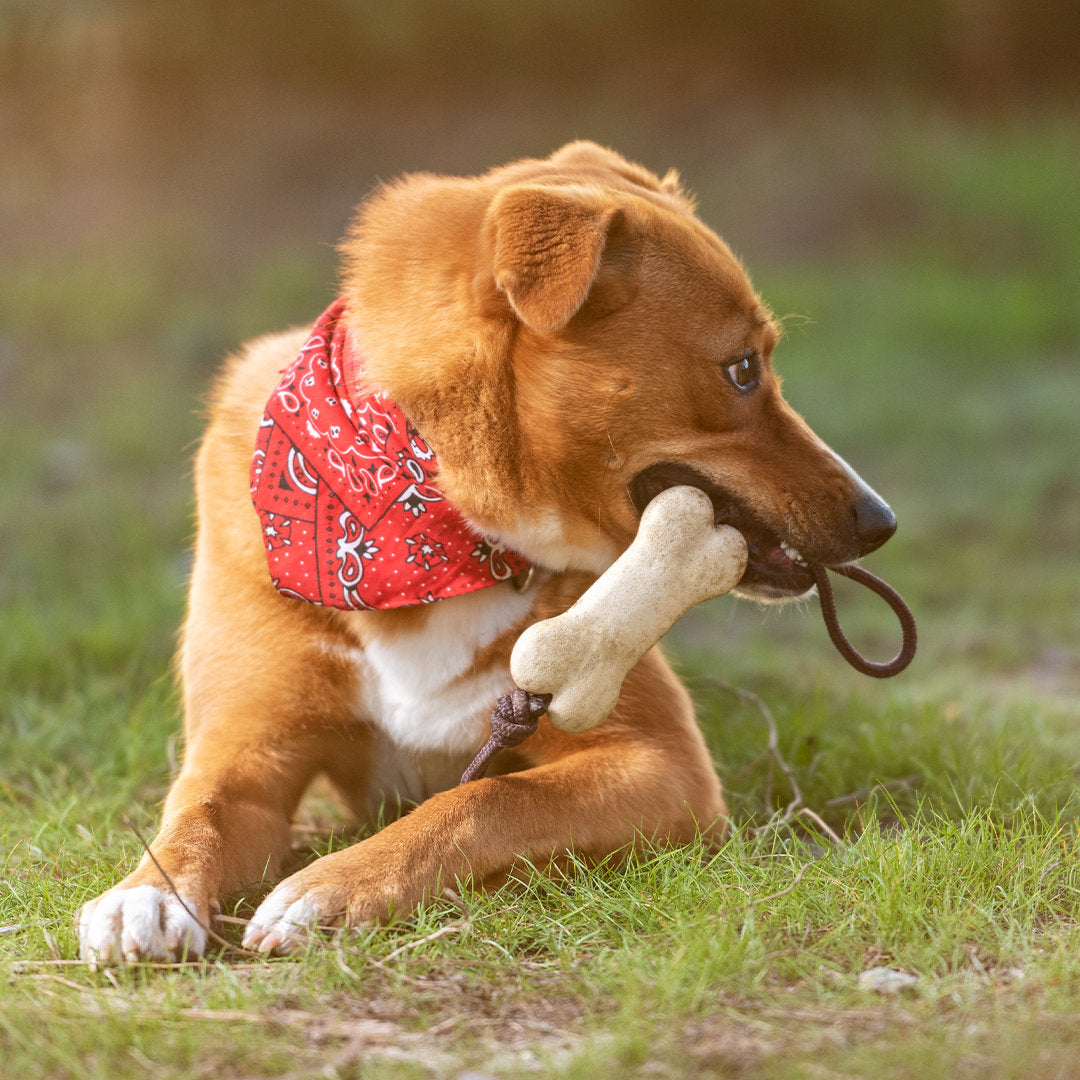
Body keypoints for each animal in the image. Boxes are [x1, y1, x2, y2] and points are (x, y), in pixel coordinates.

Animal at [79, 141, 898, 963]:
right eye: (742, 369)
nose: (881, 520)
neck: (439, 528)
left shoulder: (661, 762)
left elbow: (486, 795)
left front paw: (334, 887)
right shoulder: (247, 749)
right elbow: (198, 813)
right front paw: (144, 894)